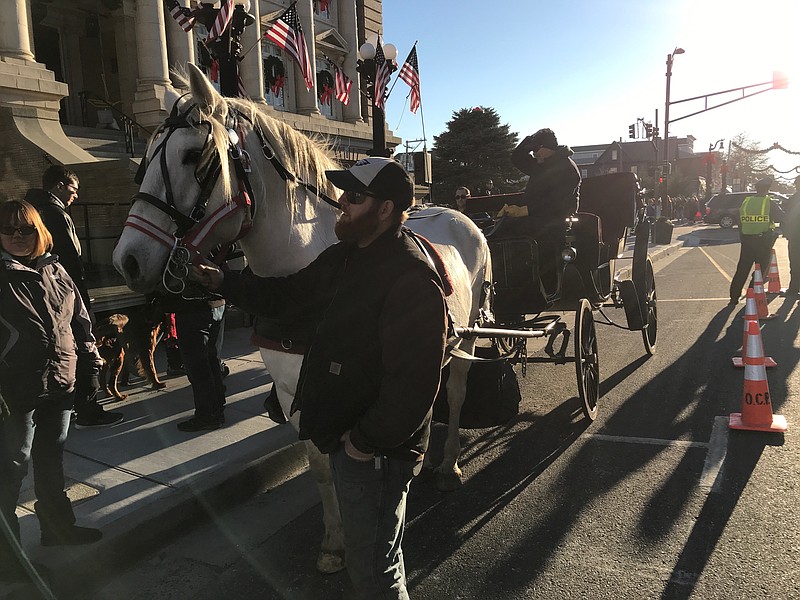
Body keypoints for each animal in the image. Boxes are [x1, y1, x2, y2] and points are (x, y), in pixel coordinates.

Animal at [110, 63, 490, 576]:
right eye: (144, 157)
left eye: (193, 156)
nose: (127, 260)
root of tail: (456, 213)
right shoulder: (294, 388)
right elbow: (321, 467)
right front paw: (333, 542)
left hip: (466, 340)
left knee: (454, 393)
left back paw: (447, 465)